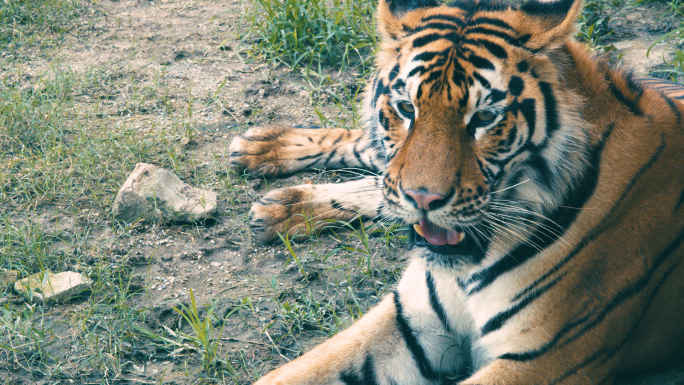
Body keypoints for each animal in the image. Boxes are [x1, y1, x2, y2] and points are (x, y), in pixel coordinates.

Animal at [227, 0, 684, 382]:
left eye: (484, 118)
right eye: (406, 108)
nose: (423, 199)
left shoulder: (543, 360)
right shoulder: (409, 319)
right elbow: (292, 373)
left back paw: (280, 201)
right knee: (370, 155)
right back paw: (264, 152)